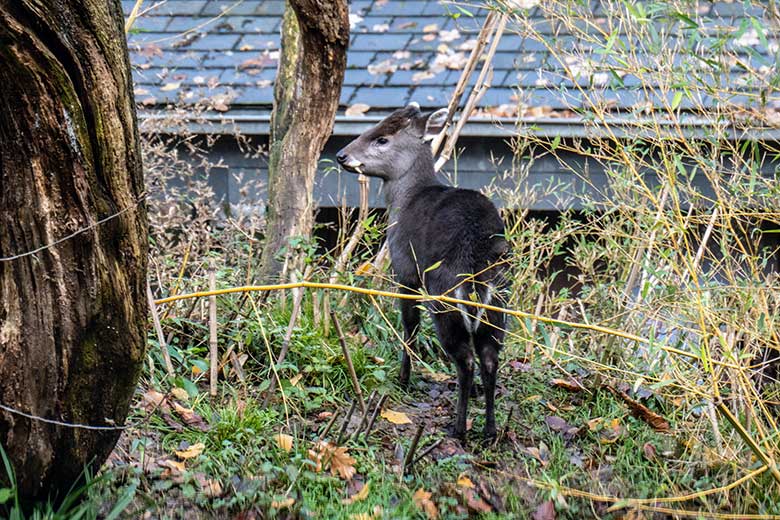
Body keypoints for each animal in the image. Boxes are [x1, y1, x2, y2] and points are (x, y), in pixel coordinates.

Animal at [336, 102, 508, 438]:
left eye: (382, 138)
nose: (342, 155)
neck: (405, 200)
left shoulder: (404, 268)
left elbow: (410, 325)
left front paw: (403, 377)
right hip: (499, 304)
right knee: (489, 358)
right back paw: (490, 430)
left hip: (445, 298)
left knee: (466, 360)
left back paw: (458, 428)